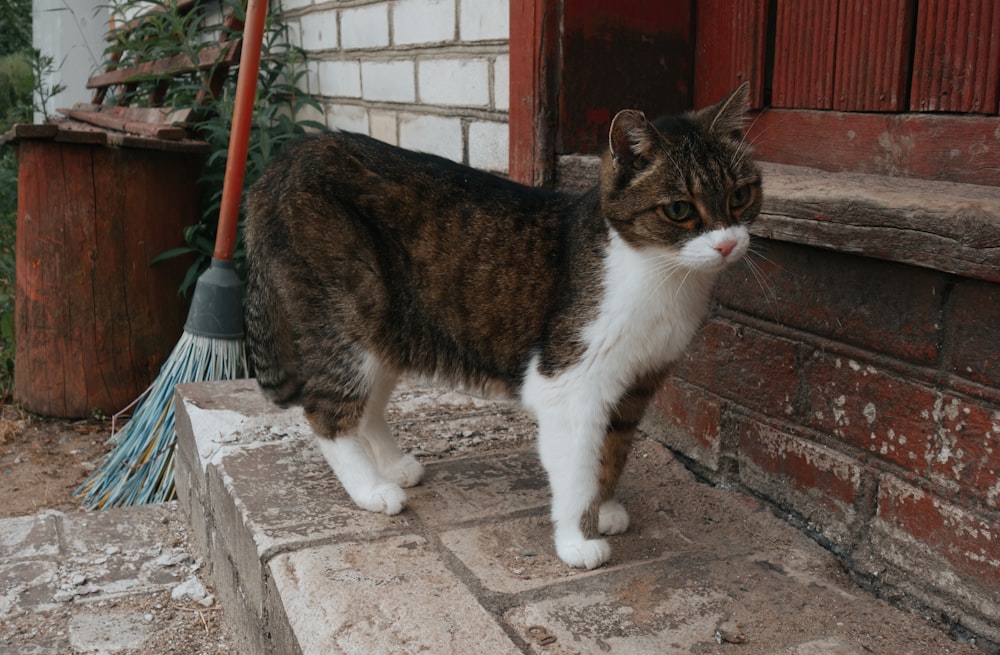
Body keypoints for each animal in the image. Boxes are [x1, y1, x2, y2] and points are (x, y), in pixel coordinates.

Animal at [246, 84, 760, 572]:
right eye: (679, 210)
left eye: (740, 196)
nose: (727, 244)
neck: (661, 275)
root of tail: (288, 158)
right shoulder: (569, 384)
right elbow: (577, 467)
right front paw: (578, 540)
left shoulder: (638, 383)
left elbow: (612, 451)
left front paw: (605, 509)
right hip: (350, 313)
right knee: (325, 410)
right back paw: (370, 488)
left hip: (389, 326)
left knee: (368, 404)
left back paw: (392, 467)